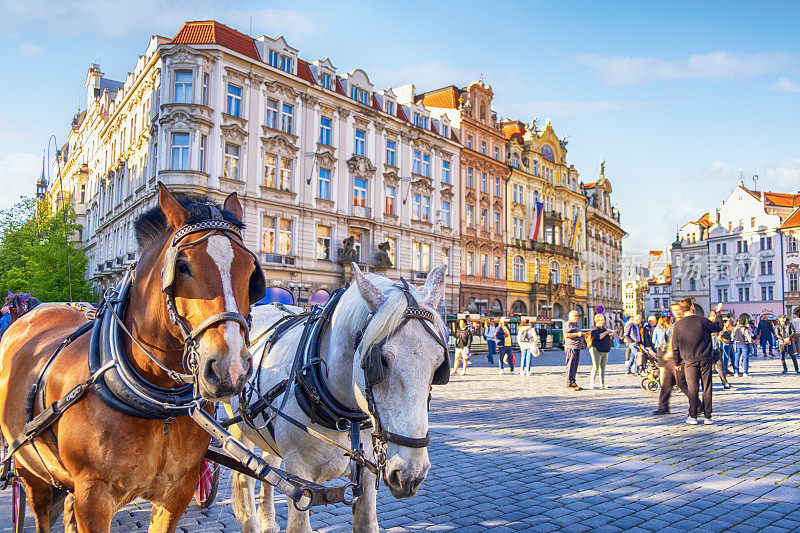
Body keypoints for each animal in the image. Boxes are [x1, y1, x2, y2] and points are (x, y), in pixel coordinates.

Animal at [0, 185, 260, 528]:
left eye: (250, 270)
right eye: (182, 266)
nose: (230, 369)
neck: (159, 406)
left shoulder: (179, 491)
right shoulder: (92, 497)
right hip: (30, 470)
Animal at [228, 264, 446, 528]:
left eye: (439, 365)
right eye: (380, 362)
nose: (410, 474)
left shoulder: (366, 473)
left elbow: (366, 522)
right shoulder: (299, 479)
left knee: (268, 466)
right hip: (240, 431)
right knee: (245, 476)